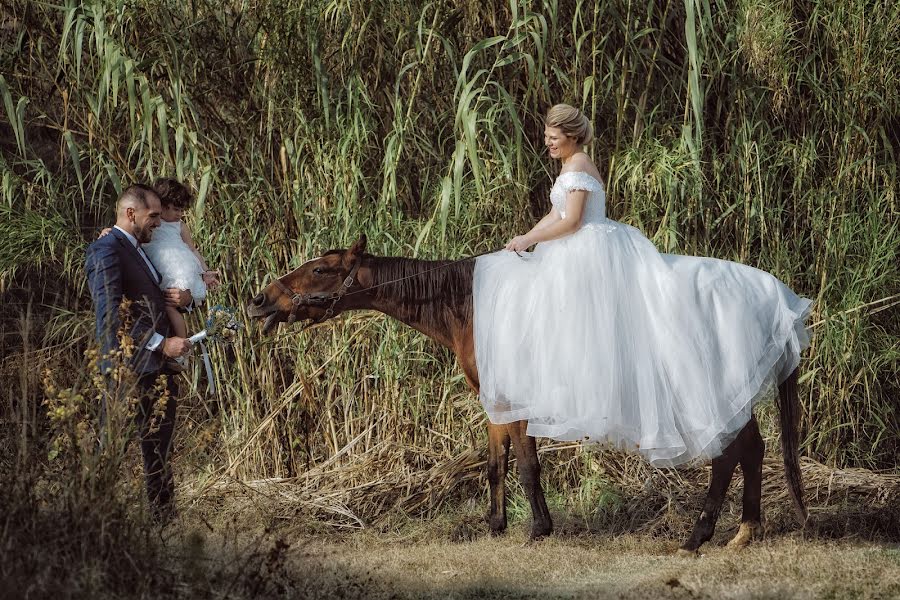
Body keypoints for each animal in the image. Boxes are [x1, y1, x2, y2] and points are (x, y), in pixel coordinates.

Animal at [246, 234, 808, 552]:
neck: (469, 302)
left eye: (321, 269)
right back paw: (744, 532)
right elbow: (496, 463)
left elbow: (526, 464)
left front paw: (538, 529)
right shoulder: (494, 400)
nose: (259, 301)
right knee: (752, 450)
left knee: (730, 454)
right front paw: (495, 525)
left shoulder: (514, 401)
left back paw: (699, 536)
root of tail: (773, 294)